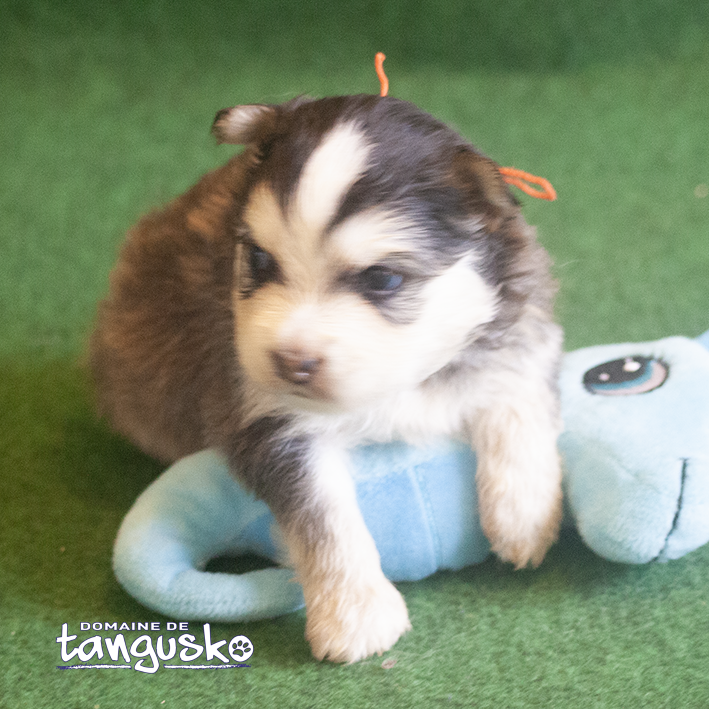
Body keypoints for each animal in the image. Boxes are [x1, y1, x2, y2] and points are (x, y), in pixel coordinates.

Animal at [90, 94, 564, 664]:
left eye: (382, 278)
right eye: (259, 259)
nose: (291, 362)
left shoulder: (521, 325)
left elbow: (517, 395)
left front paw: (524, 515)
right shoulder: (268, 419)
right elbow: (326, 518)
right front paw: (356, 613)